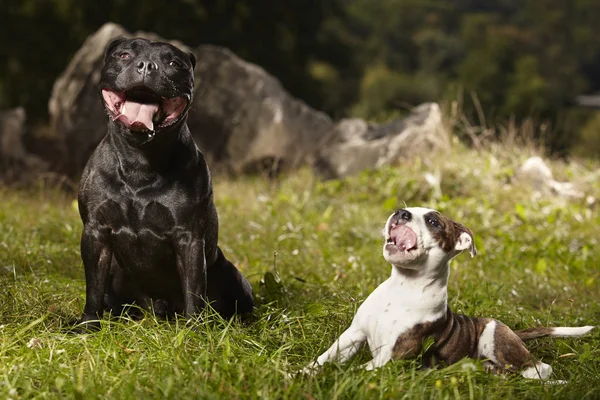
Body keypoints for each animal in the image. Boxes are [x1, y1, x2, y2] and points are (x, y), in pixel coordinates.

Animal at [75, 38, 253, 332]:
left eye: (174, 63)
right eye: (124, 55)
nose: (147, 65)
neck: (140, 161)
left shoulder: (189, 238)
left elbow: (193, 289)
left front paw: (194, 331)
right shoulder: (96, 233)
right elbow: (94, 288)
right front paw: (87, 326)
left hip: (232, 276)